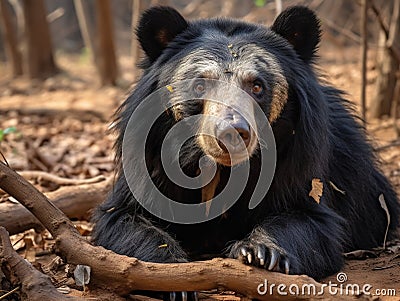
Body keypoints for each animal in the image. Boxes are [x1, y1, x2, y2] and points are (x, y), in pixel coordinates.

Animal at [93, 4, 396, 296]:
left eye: (257, 86)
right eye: (200, 84)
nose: (232, 133)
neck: (221, 170)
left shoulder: (301, 160)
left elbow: (310, 218)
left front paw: (261, 252)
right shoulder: (149, 157)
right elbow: (122, 218)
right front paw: (171, 278)